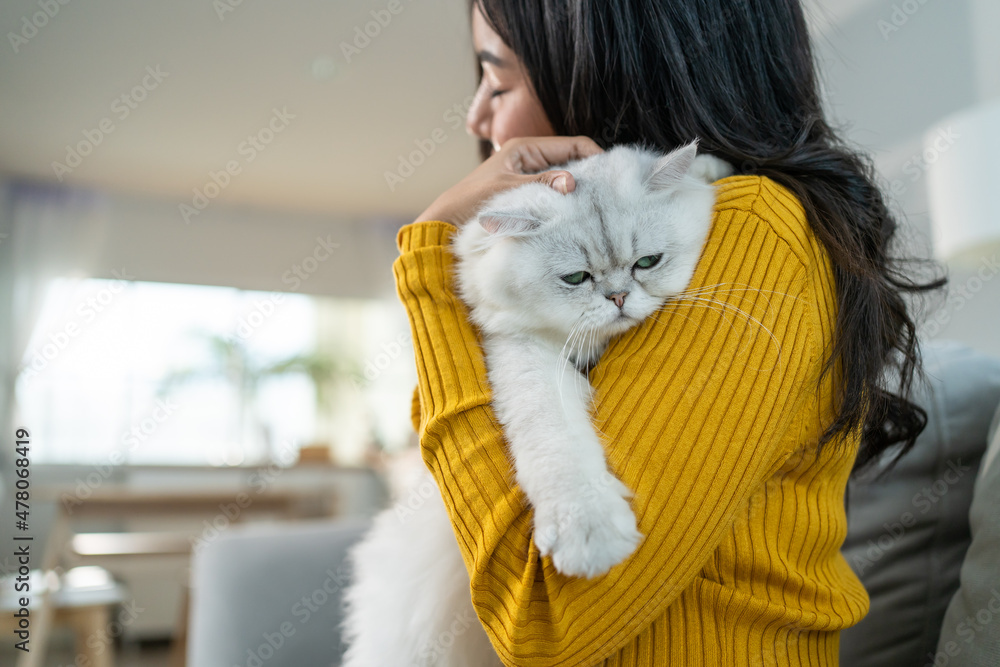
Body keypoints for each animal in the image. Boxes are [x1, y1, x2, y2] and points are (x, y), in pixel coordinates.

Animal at [340, 142, 732, 667]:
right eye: (575, 278)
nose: (618, 298)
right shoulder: (523, 355)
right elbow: (558, 448)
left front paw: (713, 168)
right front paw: (589, 535)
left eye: (647, 262)